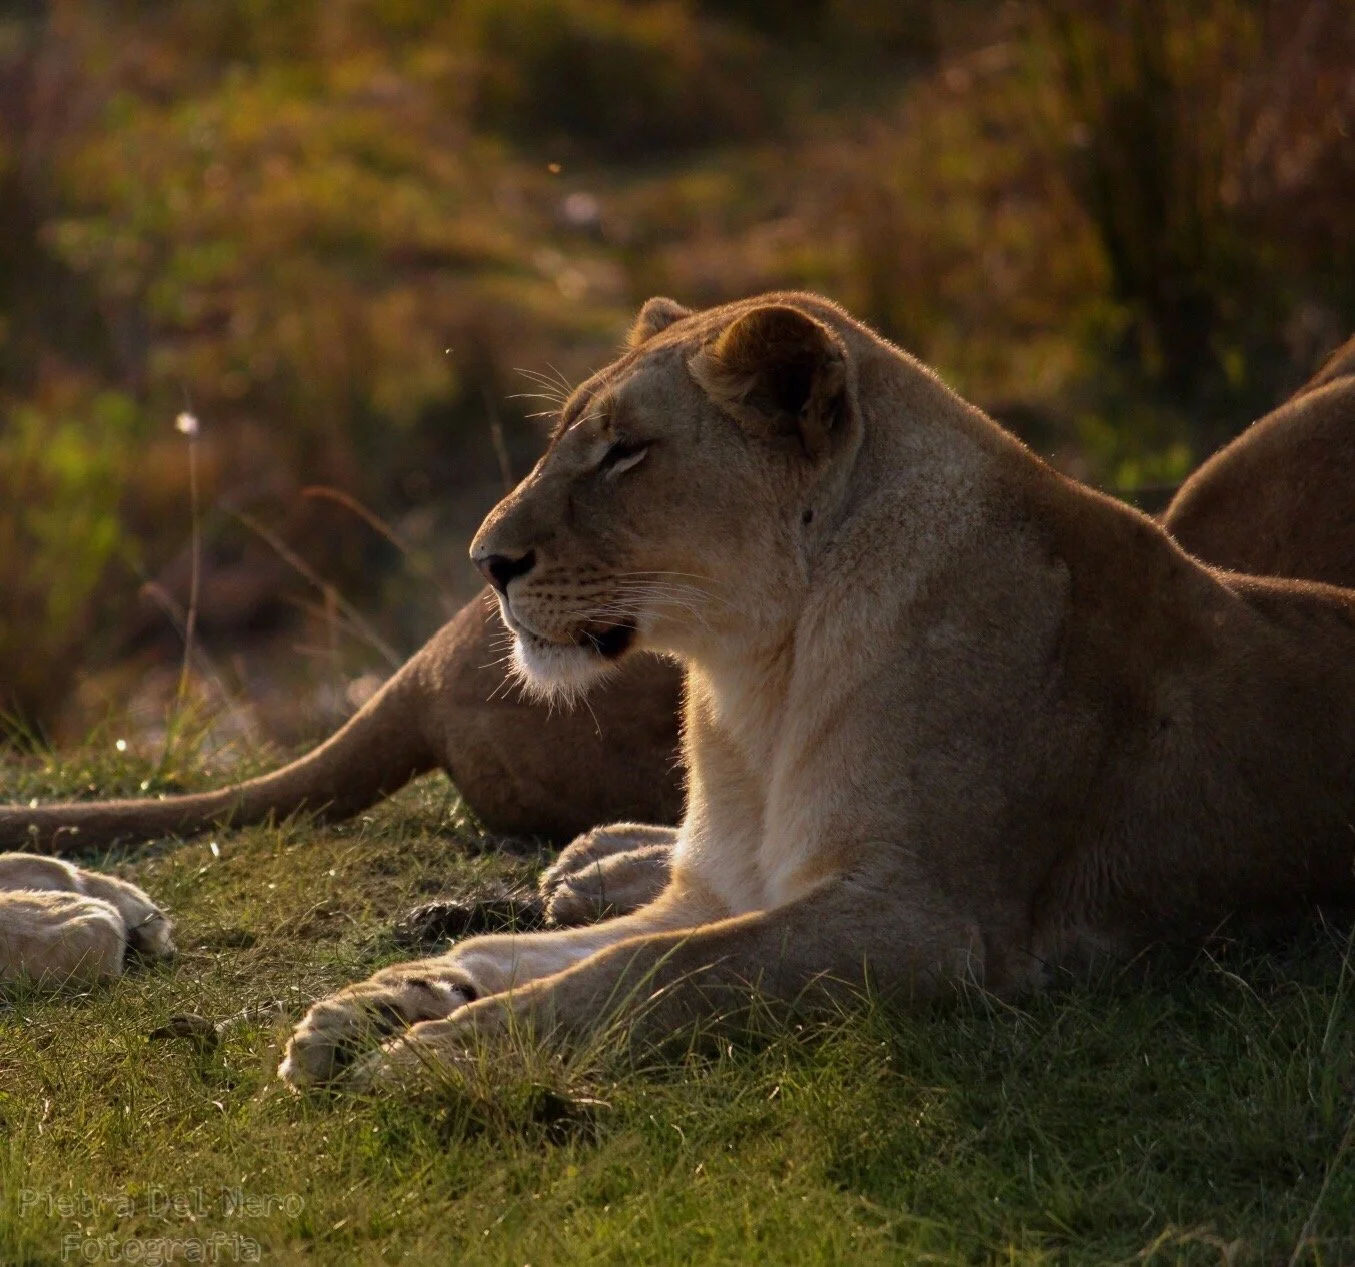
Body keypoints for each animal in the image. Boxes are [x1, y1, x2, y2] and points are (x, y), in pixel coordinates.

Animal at [278, 292, 1355, 1089]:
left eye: (626, 450)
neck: (756, 680)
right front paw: (379, 1001)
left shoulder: (931, 925)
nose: (484, 562)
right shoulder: (718, 887)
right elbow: (524, 950)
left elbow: (653, 970)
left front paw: (434, 1053)